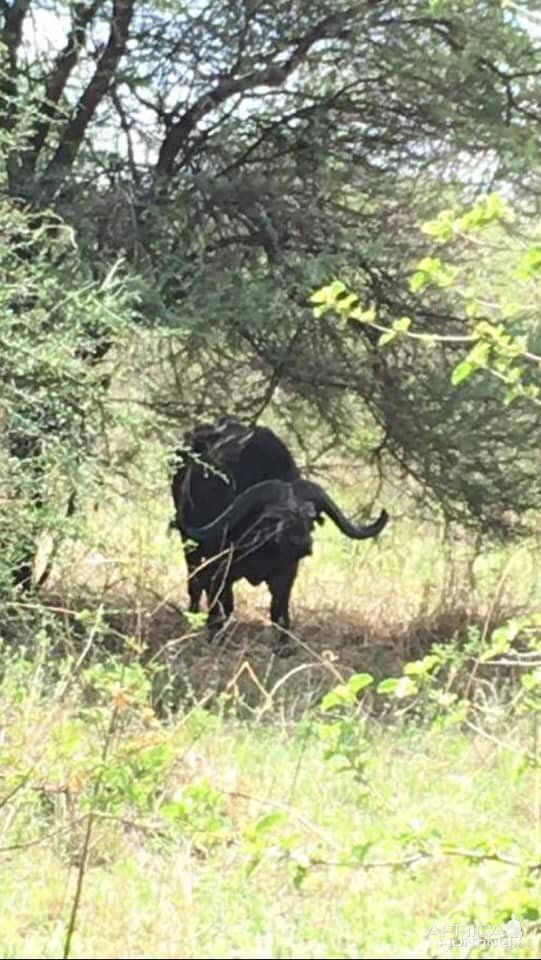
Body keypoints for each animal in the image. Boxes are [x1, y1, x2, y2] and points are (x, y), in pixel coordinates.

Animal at [171, 416, 386, 632]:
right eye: (275, 517)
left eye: (311, 518)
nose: (301, 543)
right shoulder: (222, 569)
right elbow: (219, 611)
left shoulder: (285, 576)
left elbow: (280, 617)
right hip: (189, 546)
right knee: (195, 584)